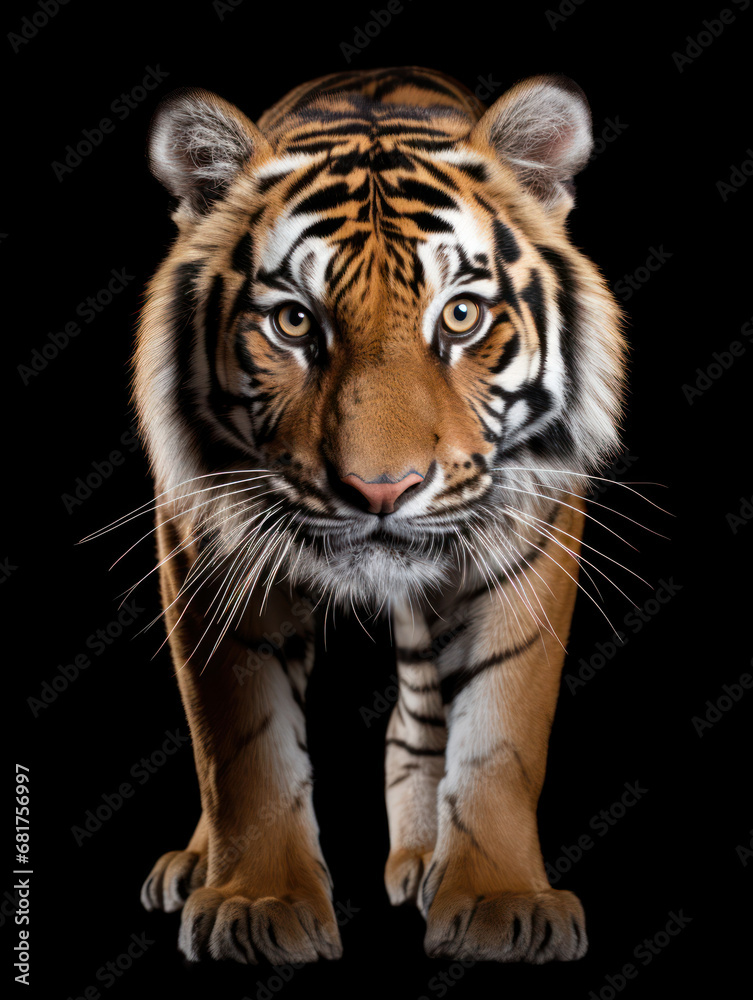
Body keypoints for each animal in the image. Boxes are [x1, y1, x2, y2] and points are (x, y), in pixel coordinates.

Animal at [134, 66, 626, 965]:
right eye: (294, 321)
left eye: (460, 316)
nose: (381, 489)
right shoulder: (204, 540)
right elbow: (240, 744)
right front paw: (256, 901)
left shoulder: (531, 531)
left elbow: (501, 730)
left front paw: (500, 902)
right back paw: (196, 866)